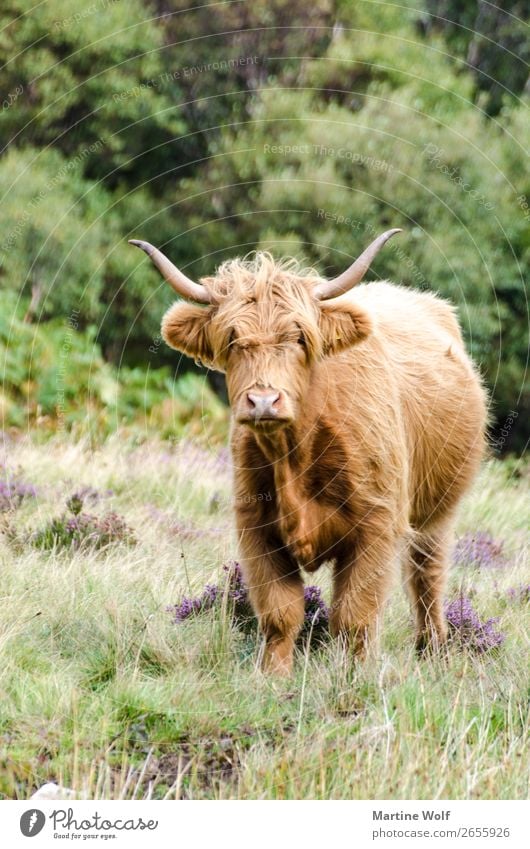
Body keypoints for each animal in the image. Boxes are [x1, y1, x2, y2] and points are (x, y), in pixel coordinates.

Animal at [130, 230, 484, 676]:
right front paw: (273, 677)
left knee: (426, 575)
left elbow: (354, 615)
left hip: (437, 511)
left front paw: (354, 676)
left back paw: (432, 649)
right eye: (232, 339)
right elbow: (280, 614)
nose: (263, 401)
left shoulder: (378, 523)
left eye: (299, 338)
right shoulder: (256, 527)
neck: (294, 458)